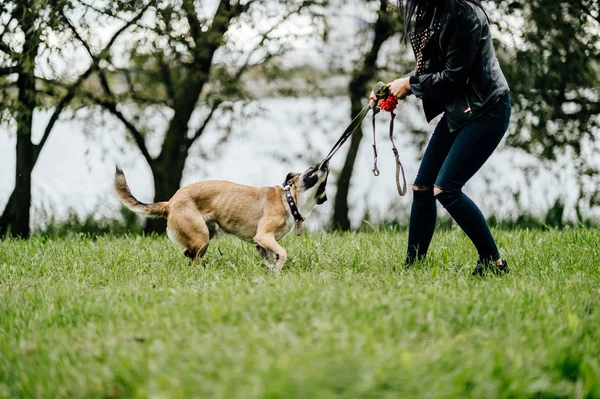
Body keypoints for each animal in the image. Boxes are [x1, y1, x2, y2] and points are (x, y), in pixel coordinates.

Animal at [112, 164, 328, 274]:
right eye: (312, 170)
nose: (325, 165)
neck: (288, 199)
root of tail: (171, 202)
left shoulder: (261, 245)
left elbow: (271, 259)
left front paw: (274, 272)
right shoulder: (264, 236)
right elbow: (282, 253)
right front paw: (279, 268)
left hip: (207, 232)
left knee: (187, 253)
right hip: (202, 237)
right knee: (192, 257)